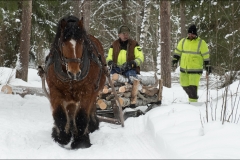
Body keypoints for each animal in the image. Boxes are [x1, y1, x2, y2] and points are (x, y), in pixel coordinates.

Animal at [44, 15, 106, 149]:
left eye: (82, 42)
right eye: (63, 42)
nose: (74, 73)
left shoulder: (87, 91)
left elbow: (81, 116)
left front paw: (81, 141)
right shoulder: (55, 90)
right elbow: (60, 115)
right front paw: (62, 137)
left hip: (95, 92)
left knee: (89, 109)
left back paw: (91, 126)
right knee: (71, 112)